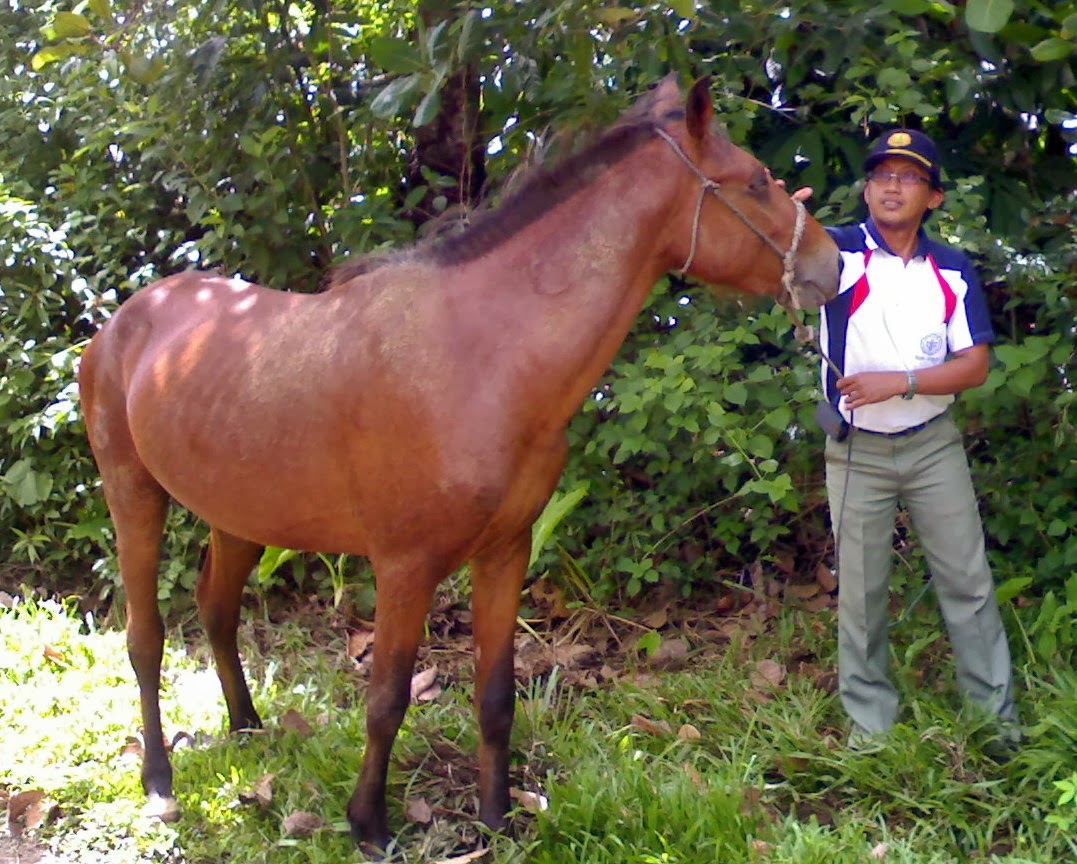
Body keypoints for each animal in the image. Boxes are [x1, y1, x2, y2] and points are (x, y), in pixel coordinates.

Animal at [78, 75, 840, 853]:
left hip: (238, 513)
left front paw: (497, 818)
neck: (480, 358)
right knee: (146, 638)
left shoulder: (506, 550)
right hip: (132, 493)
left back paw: (248, 727)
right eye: (755, 183)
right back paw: (159, 781)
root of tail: (122, 323)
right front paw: (369, 825)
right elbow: (386, 699)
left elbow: (496, 694)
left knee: (218, 611)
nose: (831, 266)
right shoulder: (404, 567)